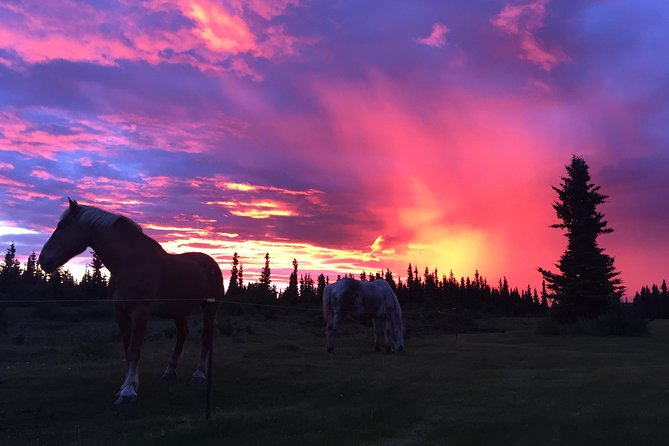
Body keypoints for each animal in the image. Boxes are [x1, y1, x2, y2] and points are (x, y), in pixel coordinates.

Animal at [37, 198, 223, 404]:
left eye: (62, 225)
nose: (43, 260)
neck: (130, 262)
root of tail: (210, 263)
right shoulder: (120, 312)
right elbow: (127, 351)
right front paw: (126, 385)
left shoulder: (140, 312)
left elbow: (134, 350)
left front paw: (128, 392)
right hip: (178, 310)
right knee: (182, 335)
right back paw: (169, 372)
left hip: (209, 308)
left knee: (205, 338)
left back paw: (198, 374)